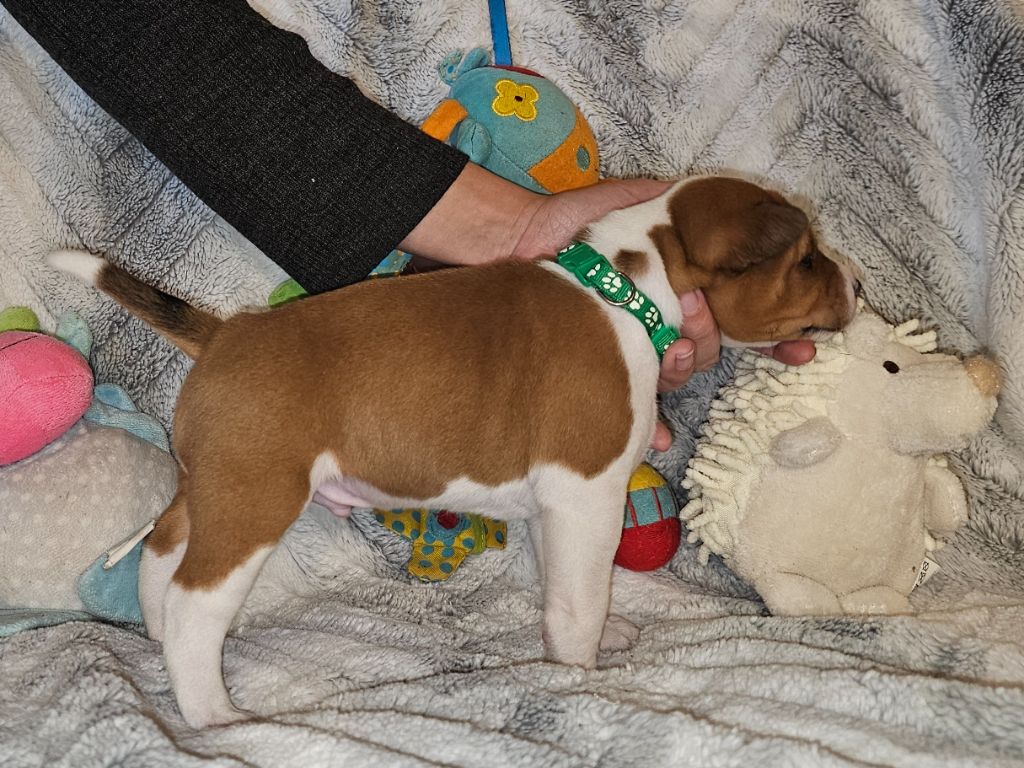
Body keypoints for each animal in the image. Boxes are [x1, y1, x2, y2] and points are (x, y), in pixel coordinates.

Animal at [49, 176, 858, 727]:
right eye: (807, 259)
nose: (857, 280)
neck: (623, 287)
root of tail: (226, 332)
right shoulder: (586, 496)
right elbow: (579, 598)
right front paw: (580, 671)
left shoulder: (554, 508)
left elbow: (555, 583)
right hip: (255, 500)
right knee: (196, 599)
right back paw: (212, 714)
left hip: (210, 488)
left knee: (162, 553)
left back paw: (160, 645)